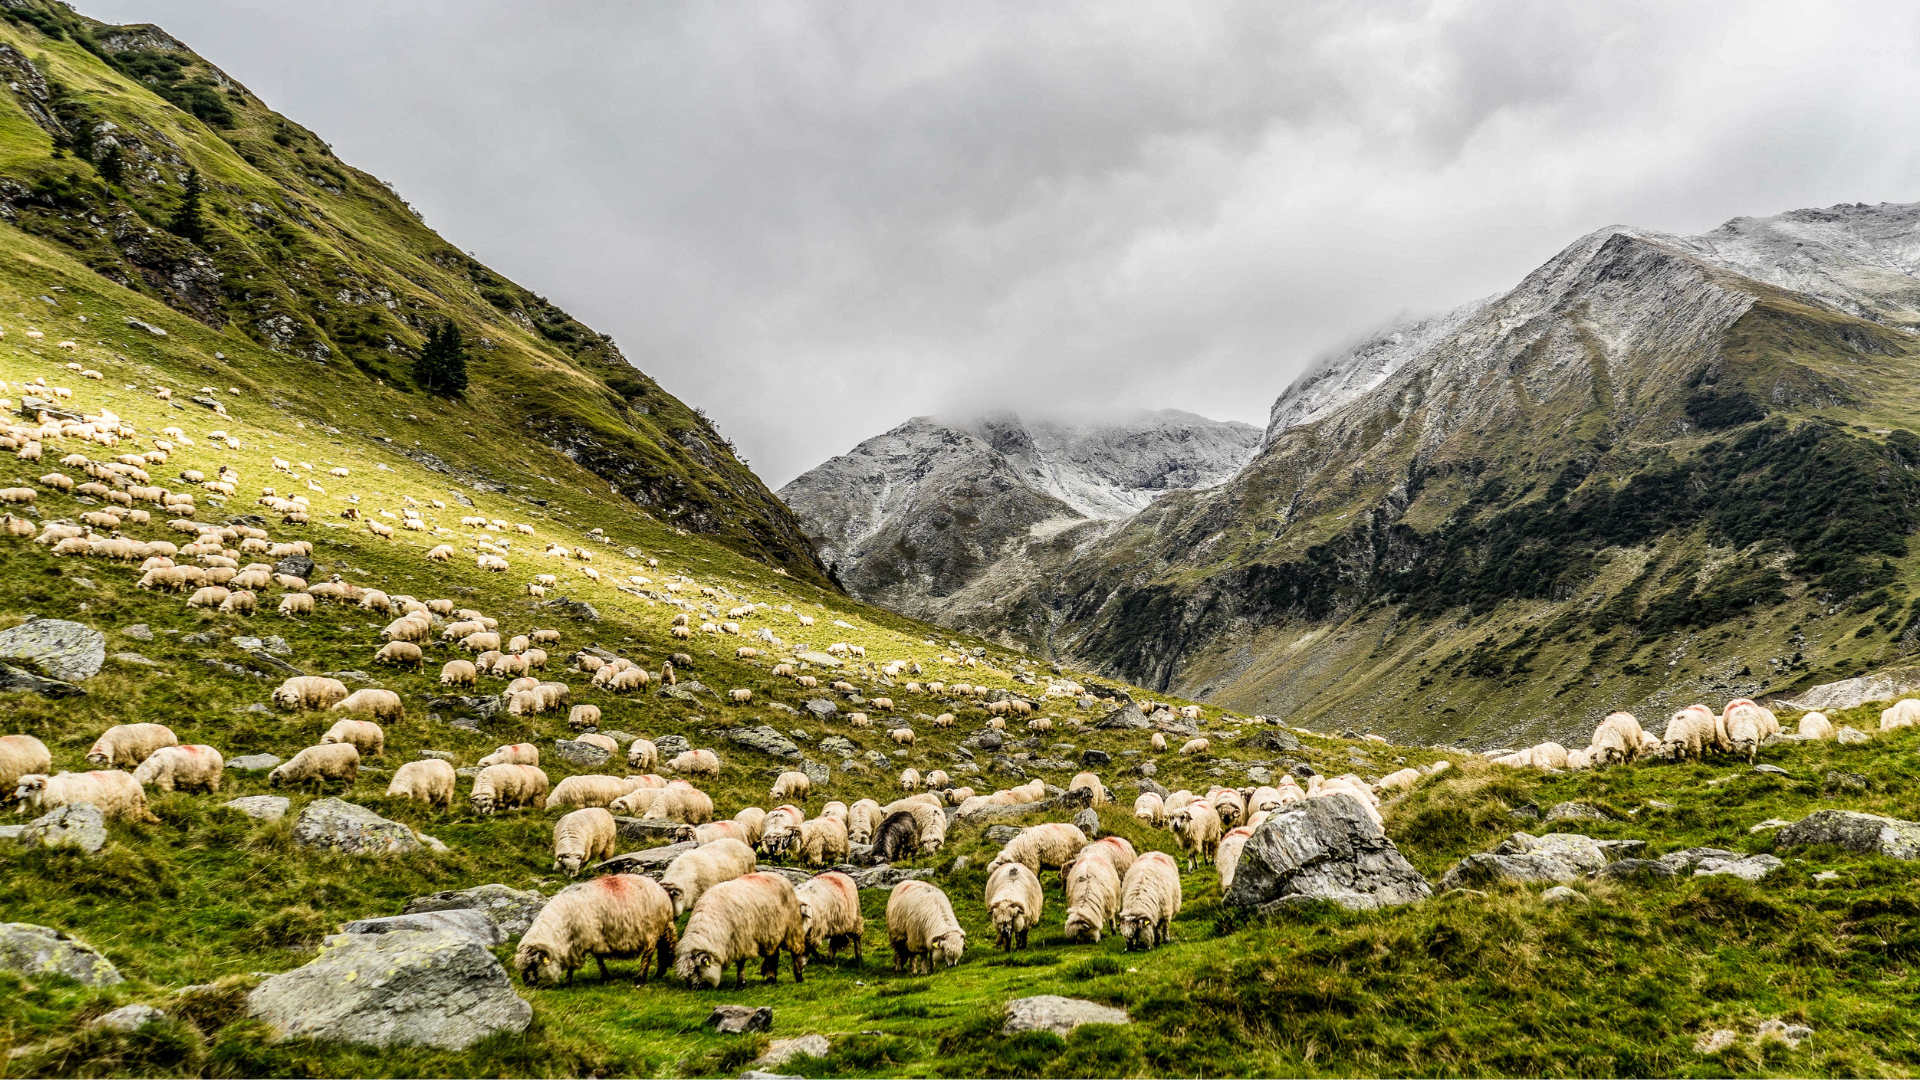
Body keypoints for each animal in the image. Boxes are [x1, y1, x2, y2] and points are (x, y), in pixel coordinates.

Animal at [514, 876, 679, 983]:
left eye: (533, 964)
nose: (528, 984)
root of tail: (662, 890)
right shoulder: (575, 943)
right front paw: (569, 980)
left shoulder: (590, 937)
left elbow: (597, 958)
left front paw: (604, 977)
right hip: (660, 929)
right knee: (663, 950)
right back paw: (659, 972)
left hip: (652, 929)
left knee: (649, 952)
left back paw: (640, 978)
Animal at [672, 864, 806, 983]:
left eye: (697, 969)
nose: (694, 988)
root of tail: (778, 876)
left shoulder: (742, 940)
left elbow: (741, 963)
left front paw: (740, 983)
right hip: (771, 932)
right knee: (773, 955)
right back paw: (771, 979)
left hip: (792, 927)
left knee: (795, 952)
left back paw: (799, 976)